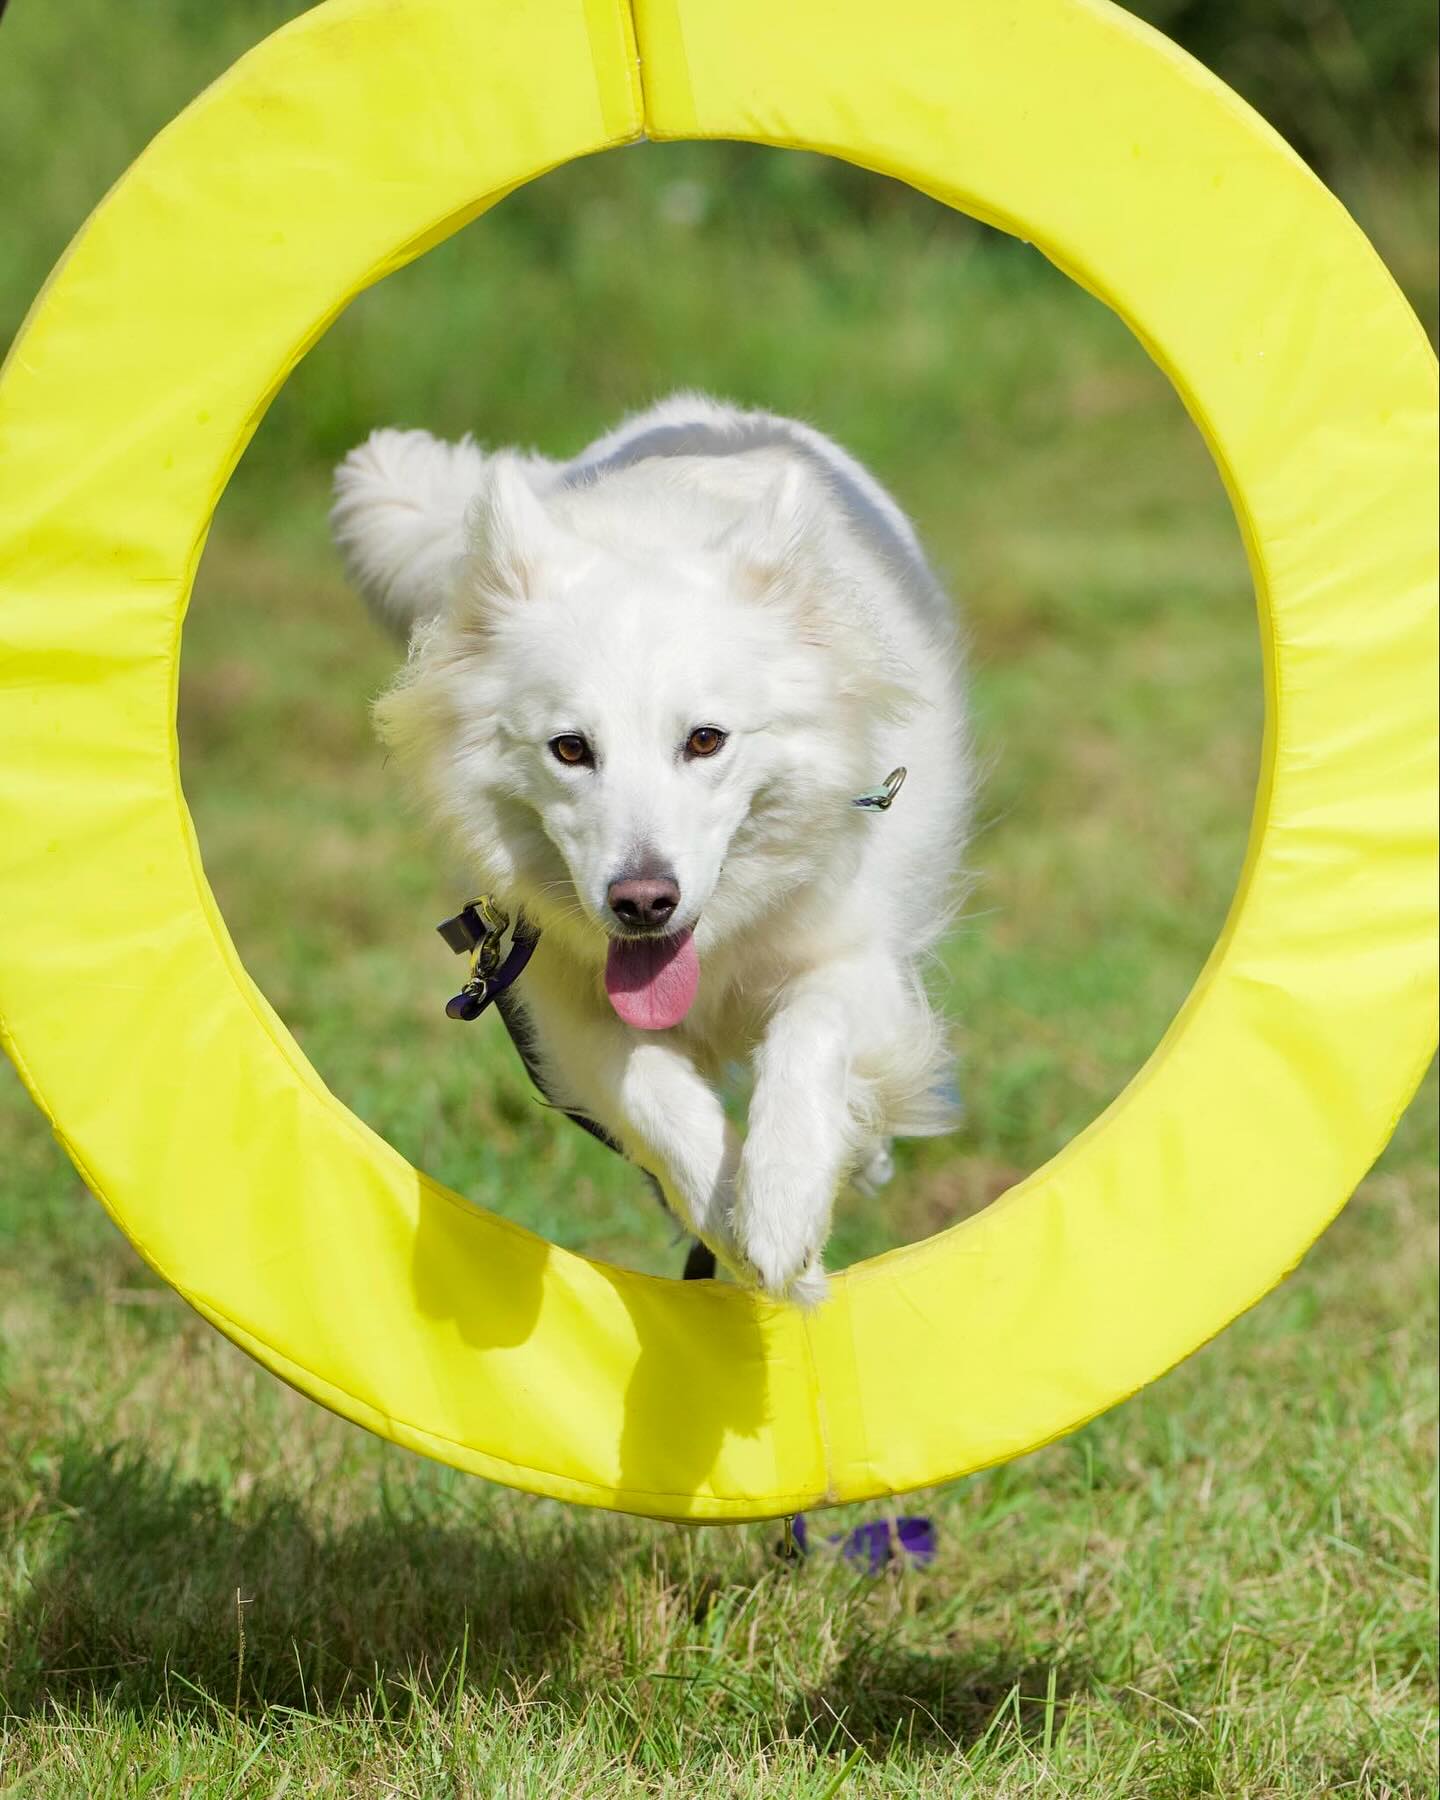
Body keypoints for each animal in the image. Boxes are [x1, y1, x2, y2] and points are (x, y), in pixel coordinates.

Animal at [331, 394, 972, 1303]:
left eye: (706, 741)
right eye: (570, 749)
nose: (642, 903)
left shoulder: (854, 958)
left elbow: (808, 1037)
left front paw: (781, 1209)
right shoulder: (567, 1012)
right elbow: (661, 1105)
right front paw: (735, 1221)